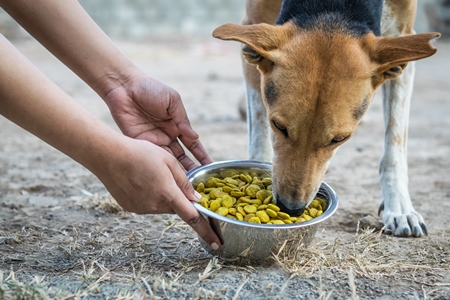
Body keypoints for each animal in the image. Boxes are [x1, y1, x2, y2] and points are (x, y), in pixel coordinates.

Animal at [213, 1, 442, 238]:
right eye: (278, 126)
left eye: (340, 139)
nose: (290, 208)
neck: (334, 10)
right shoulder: (253, 23)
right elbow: (259, 133)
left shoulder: (403, 35)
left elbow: (395, 144)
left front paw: (400, 208)